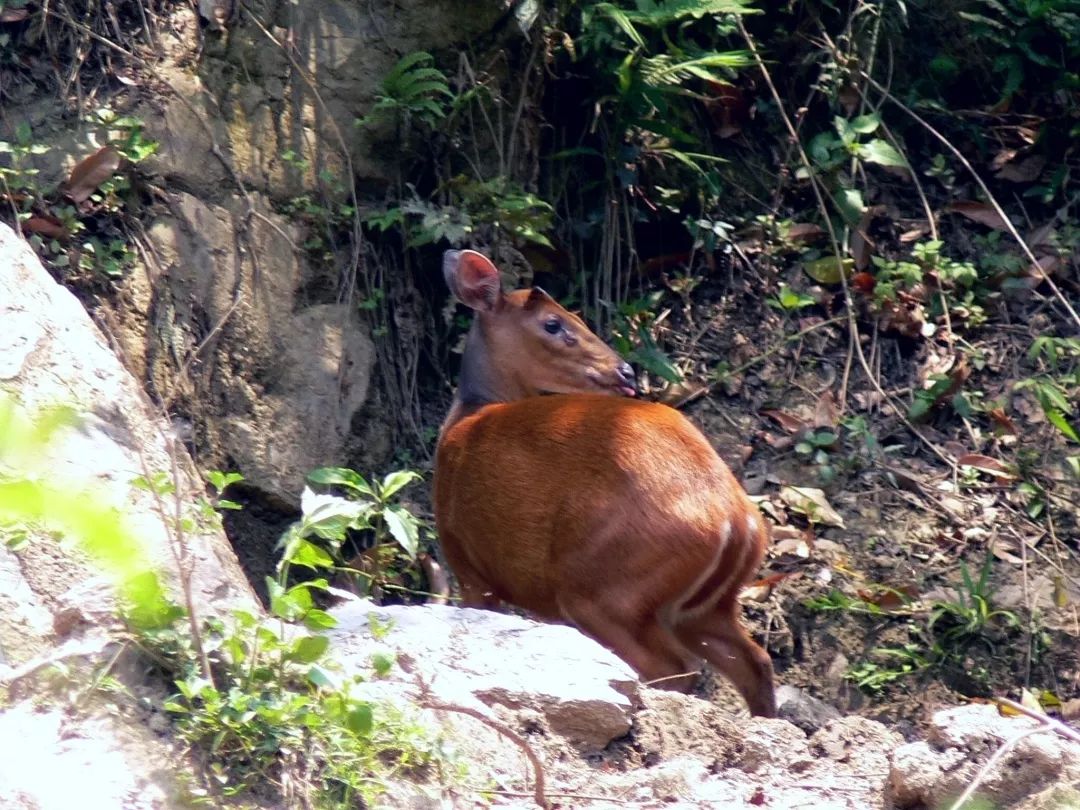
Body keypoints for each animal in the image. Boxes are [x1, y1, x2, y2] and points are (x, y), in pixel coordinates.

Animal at [429, 250, 777, 721]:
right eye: (554, 323)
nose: (626, 370)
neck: (464, 420)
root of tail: (734, 521)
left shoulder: (467, 564)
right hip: (703, 605)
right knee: (754, 661)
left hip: (604, 587)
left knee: (675, 667)